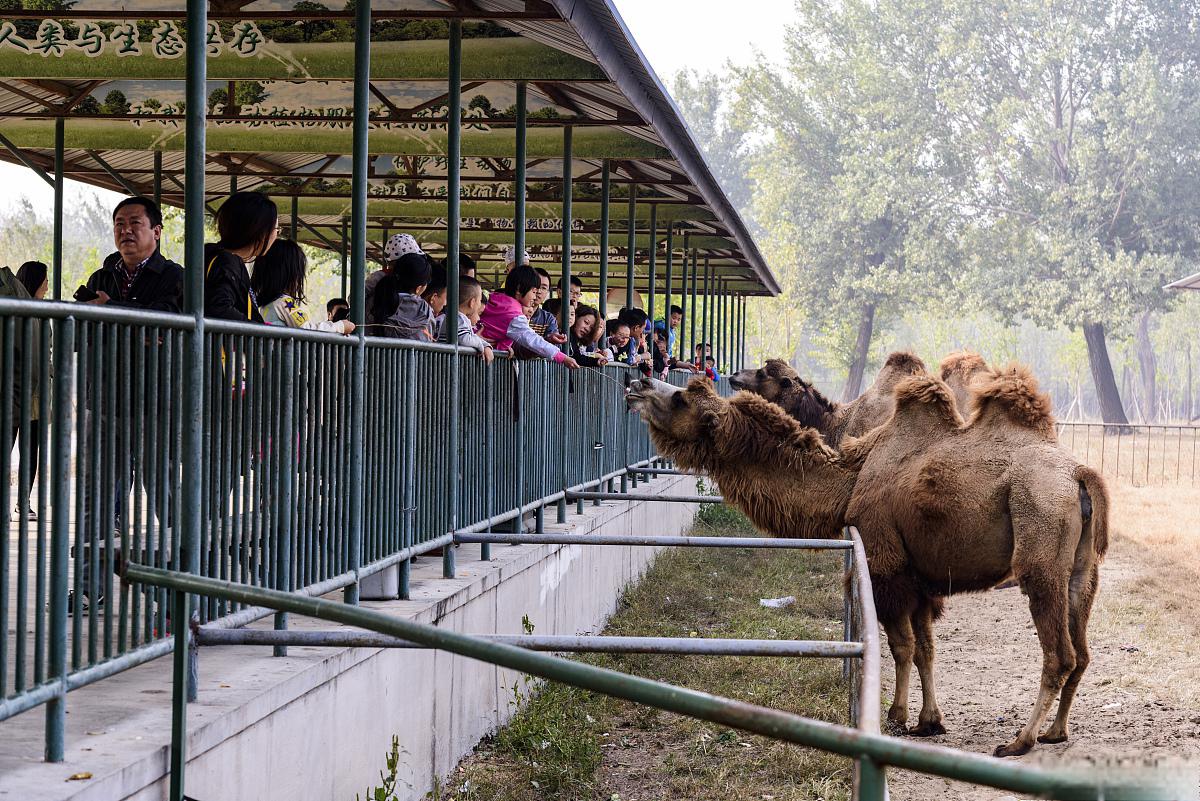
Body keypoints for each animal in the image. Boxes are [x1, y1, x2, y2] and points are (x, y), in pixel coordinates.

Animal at [628, 366, 1104, 757]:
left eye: (682, 398)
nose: (638, 382)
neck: (850, 480)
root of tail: (1080, 476)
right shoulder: (919, 578)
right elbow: (927, 648)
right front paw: (930, 721)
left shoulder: (885, 564)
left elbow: (901, 645)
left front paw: (896, 715)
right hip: (1083, 570)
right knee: (1082, 652)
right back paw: (1056, 732)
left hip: (1039, 536)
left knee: (1059, 654)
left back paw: (1020, 741)